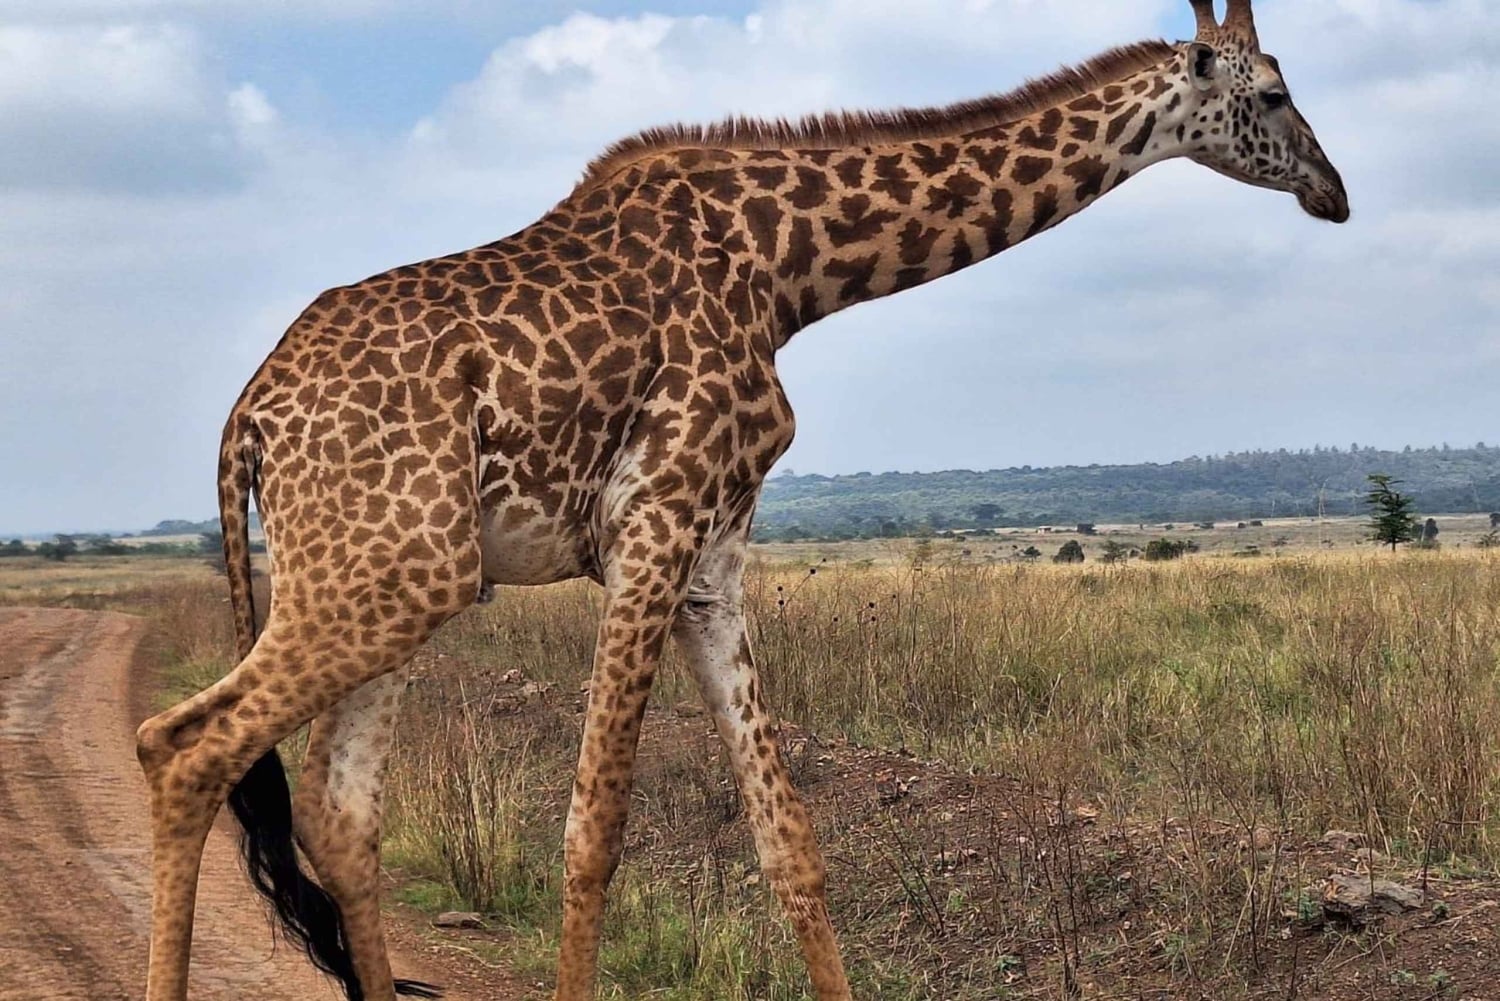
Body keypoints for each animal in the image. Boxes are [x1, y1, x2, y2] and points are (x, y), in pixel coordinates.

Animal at [136, 2, 1346, 999]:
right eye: (1272, 95)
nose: (1333, 192)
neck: (788, 268)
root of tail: (249, 415)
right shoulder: (653, 524)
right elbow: (593, 829)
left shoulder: (712, 559)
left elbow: (789, 836)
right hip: (393, 572)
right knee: (183, 744)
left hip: (392, 579)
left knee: (338, 816)